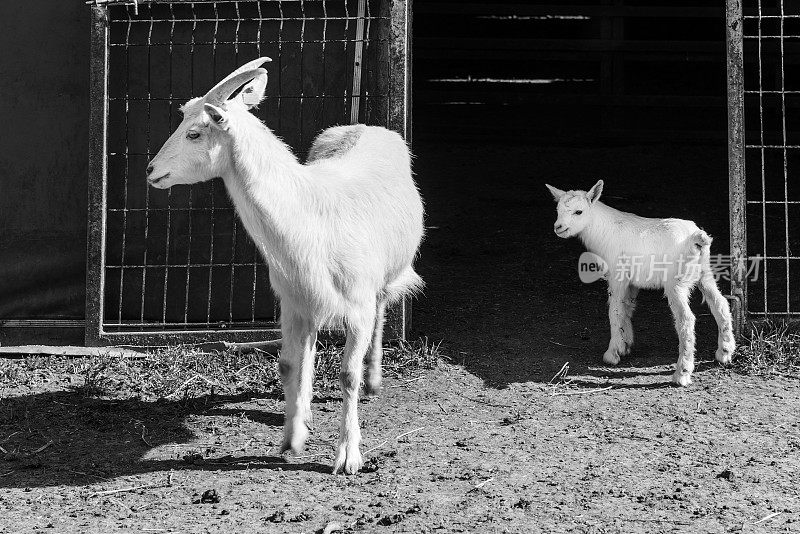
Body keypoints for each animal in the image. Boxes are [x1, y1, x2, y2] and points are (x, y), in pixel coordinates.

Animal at [148, 59, 428, 478]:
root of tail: (367, 126)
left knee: (381, 310)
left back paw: (374, 381)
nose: (151, 170)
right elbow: (286, 363)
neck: (311, 216)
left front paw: (348, 457)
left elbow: (347, 375)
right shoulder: (292, 299)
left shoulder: (356, 302)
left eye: (195, 132)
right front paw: (292, 439)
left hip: (383, 275)